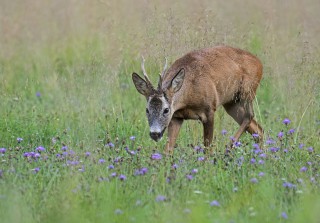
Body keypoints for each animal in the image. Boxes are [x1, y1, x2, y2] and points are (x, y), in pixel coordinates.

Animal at [131, 45, 264, 153]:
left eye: (166, 110)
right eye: (147, 110)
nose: (155, 134)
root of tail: (259, 62)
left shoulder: (209, 110)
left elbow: (207, 148)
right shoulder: (176, 117)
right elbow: (167, 150)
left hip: (248, 91)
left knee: (249, 116)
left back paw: (228, 148)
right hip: (231, 103)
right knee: (258, 129)